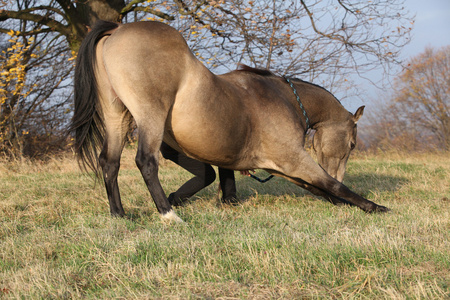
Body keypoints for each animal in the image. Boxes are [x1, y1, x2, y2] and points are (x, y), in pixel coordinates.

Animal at [70, 18, 390, 220]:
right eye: (352, 144)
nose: (340, 171)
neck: (284, 98)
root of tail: (117, 29)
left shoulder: (283, 168)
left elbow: (320, 189)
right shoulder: (295, 160)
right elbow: (333, 186)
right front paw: (375, 207)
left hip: (117, 117)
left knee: (109, 162)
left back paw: (120, 215)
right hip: (150, 116)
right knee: (145, 162)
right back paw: (168, 215)